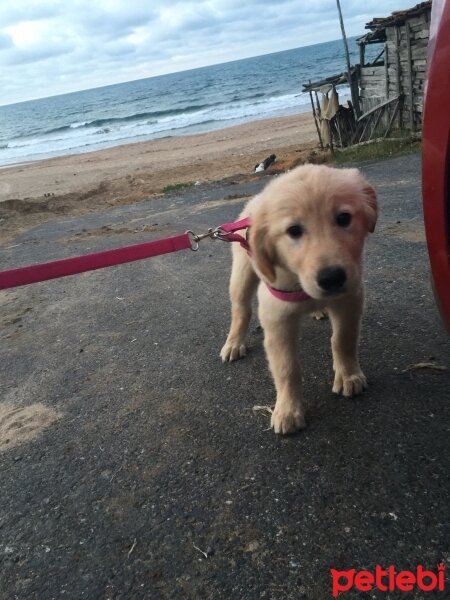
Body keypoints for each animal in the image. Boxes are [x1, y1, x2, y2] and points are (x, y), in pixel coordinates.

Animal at [220, 164, 378, 436]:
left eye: (344, 218)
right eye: (293, 231)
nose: (332, 278)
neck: (300, 284)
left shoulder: (350, 299)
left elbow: (343, 340)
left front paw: (348, 376)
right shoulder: (277, 319)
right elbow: (287, 368)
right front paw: (287, 410)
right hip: (242, 274)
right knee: (240, 310)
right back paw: (233, 343)